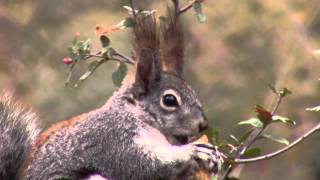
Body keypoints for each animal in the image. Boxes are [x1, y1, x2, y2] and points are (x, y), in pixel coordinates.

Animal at [0, 1, 222, 180]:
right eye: (169, 100)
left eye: (193, 92)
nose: (203, 124)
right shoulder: (113, 140)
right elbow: (141, 165)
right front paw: (195, 150)